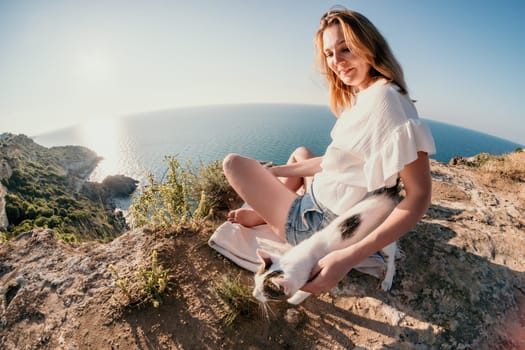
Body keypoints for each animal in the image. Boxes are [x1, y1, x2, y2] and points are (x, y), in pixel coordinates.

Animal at [253, 187, 398, 304]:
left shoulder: (320, 276)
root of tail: (387, 195)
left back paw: (387, 281)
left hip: (385, 236)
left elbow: (305, 291)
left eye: (264, 293)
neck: (304, 254)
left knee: (391, 260)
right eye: (255, 282)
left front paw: (294, 300)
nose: (254, 295)